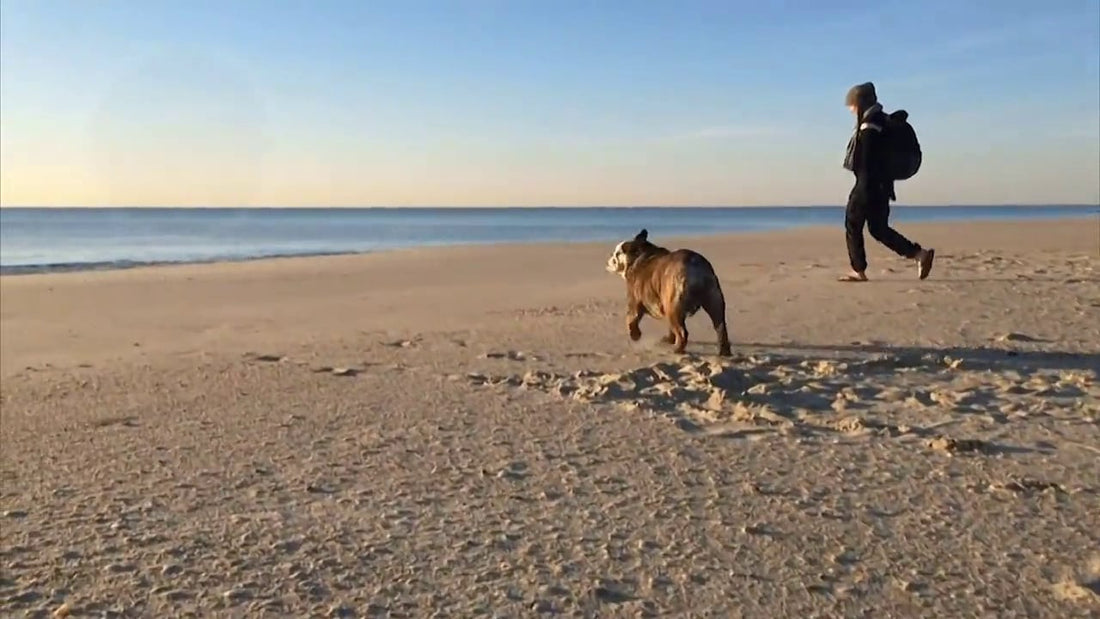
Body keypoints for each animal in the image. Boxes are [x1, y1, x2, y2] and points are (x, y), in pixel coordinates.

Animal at [611, 227, 730, 356]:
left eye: (617, 253)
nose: (611, 257)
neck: (639, 254)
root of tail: (696, 266)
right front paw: (669, 339)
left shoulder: (634, 302)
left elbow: (631, 319)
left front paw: (635, 335)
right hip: (714, 300)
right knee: (721, 328)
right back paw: (724, 351)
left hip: (673, 305)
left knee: (682, 333)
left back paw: (677, 349)